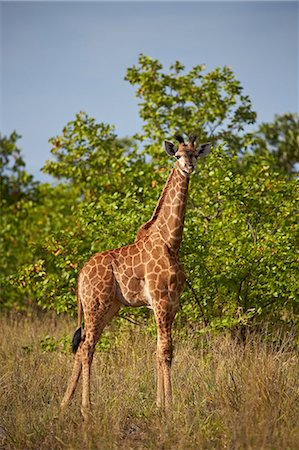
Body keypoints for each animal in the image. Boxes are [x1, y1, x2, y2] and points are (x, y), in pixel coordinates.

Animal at [60, 133, 211, 418]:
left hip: (110, 307)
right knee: (86, 347)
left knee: (83, 344)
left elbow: (159, 350)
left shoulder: (171, 303)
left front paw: (159, 405)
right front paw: (169, 406)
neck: (171, 242)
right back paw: (86, 408)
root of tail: (81, 275)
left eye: (196, 154)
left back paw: (64, 404)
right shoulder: (161, 300)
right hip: (96, 304)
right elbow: (166, 351)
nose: (189, 167)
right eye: (177, 156)